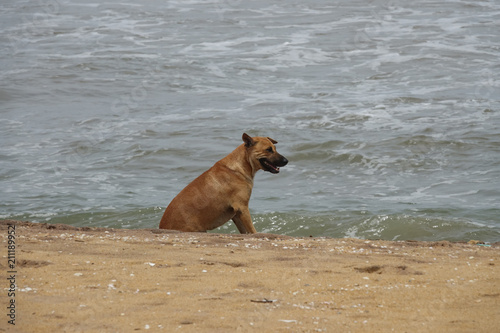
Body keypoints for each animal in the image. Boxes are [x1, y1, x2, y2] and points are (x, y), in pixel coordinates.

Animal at [158, 132, 288, 233]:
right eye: (268, 150)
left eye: (274, 149)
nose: (286, 160)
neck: (241, 166)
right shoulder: (242, 208)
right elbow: (252, 230)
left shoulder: (237, 214)